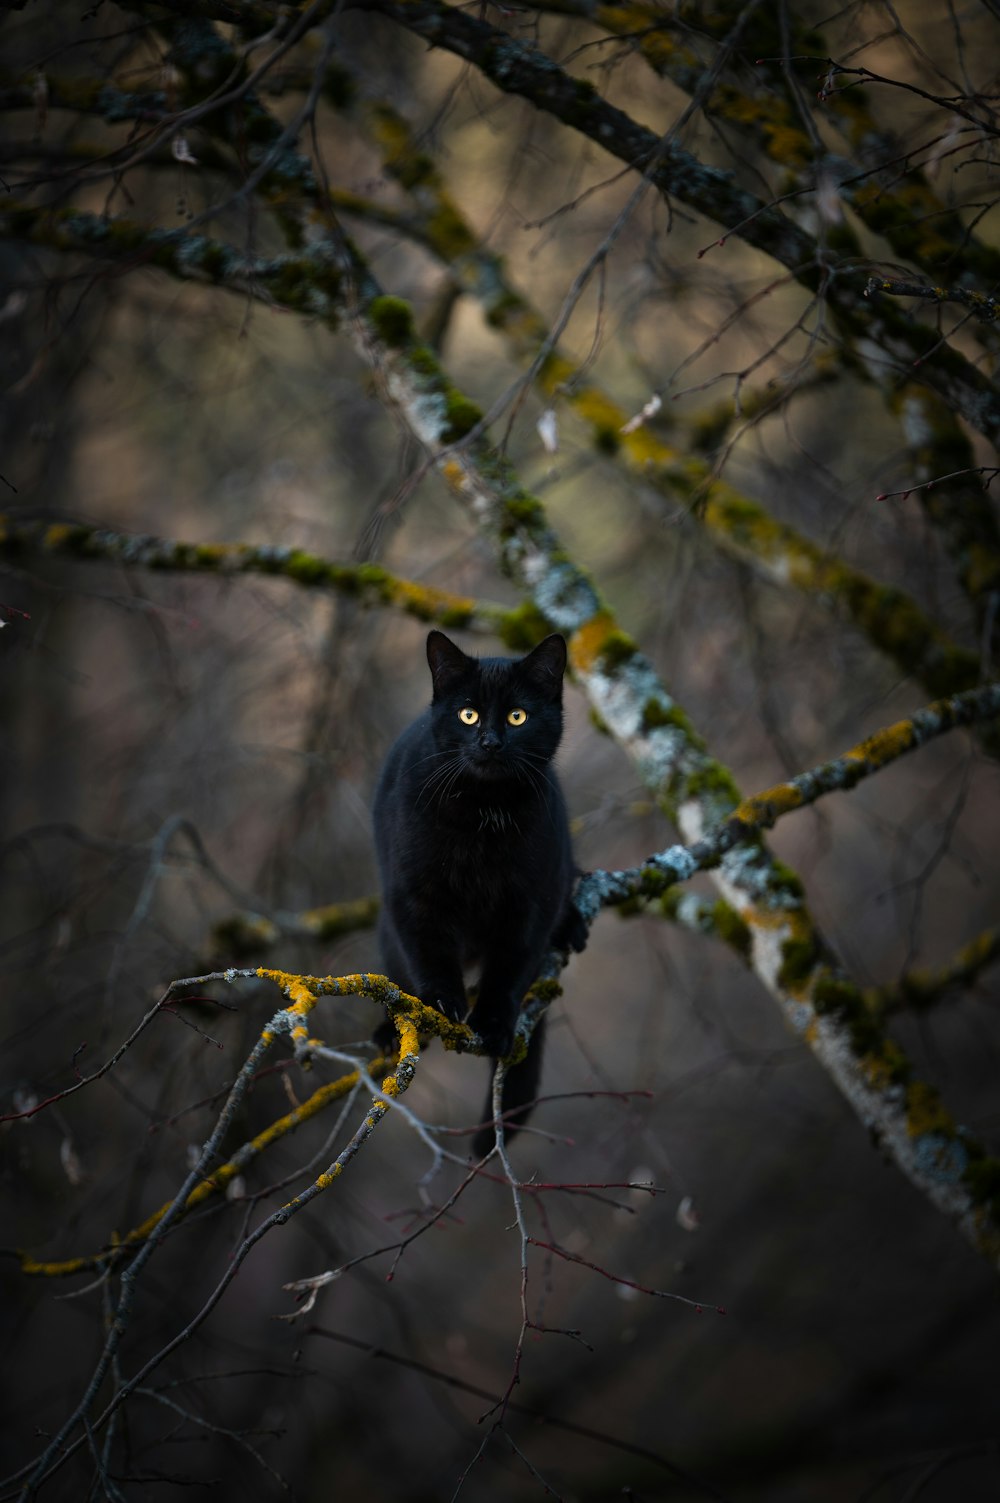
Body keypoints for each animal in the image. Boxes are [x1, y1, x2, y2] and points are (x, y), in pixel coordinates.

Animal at [369, 628, 580, 1154]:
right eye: (468, 714)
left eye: (517, 716)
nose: (490, 741)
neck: (485, 814)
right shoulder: (413, 893)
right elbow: (426, 952)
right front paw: (442, 1003)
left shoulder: (531, 904)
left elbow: (509, 970)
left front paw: (493, 1024)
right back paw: (389, 1032)